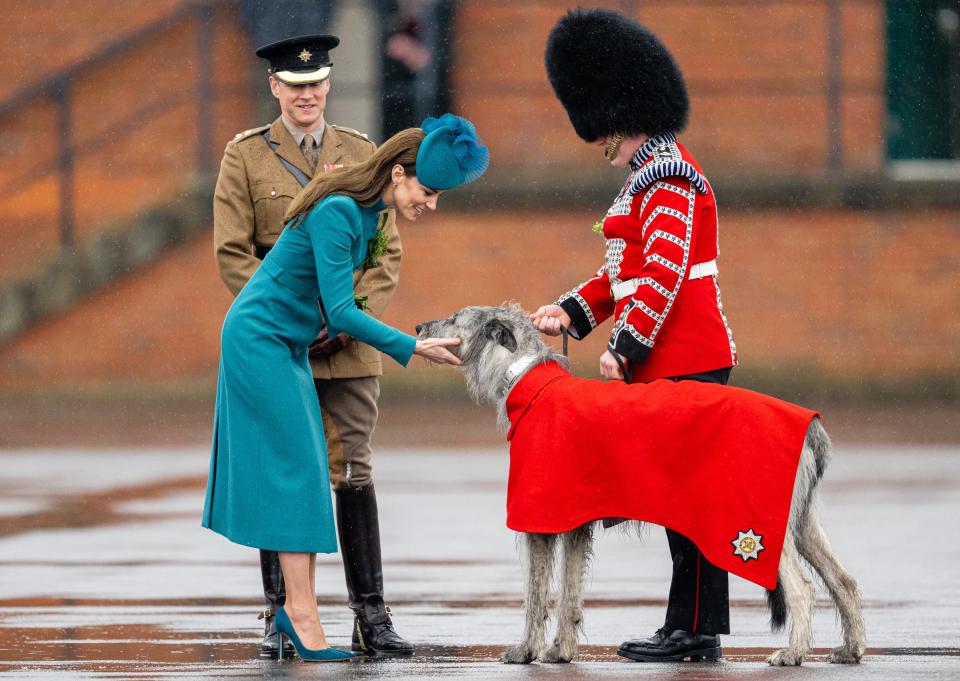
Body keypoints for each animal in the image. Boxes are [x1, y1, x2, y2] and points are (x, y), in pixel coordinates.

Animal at [416, 302, 868, 664]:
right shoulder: (575, 522)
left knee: (802, 588)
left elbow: (536, 595)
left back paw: (792, 653)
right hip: (799, 521)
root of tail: (810, 425)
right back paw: (851, 649)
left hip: (758, 524)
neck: (529, 380)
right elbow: (570, 593)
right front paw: (560, 651)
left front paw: (525, 651)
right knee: (843, 580)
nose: (419, 326)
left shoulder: (539, 520)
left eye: (455, 317)